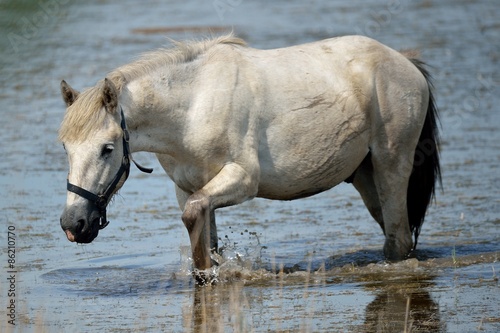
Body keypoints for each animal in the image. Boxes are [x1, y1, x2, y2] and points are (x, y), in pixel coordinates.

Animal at [59, 33, 442, 282]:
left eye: (108, 148)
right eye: (66, 148)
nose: (73, 224)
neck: (193, 105)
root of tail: (405, 63)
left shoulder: (242, 179)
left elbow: (197, 223)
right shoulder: (190, 189)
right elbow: (202, 232)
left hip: (391, 166)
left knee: (398, 237)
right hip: (365, 177)